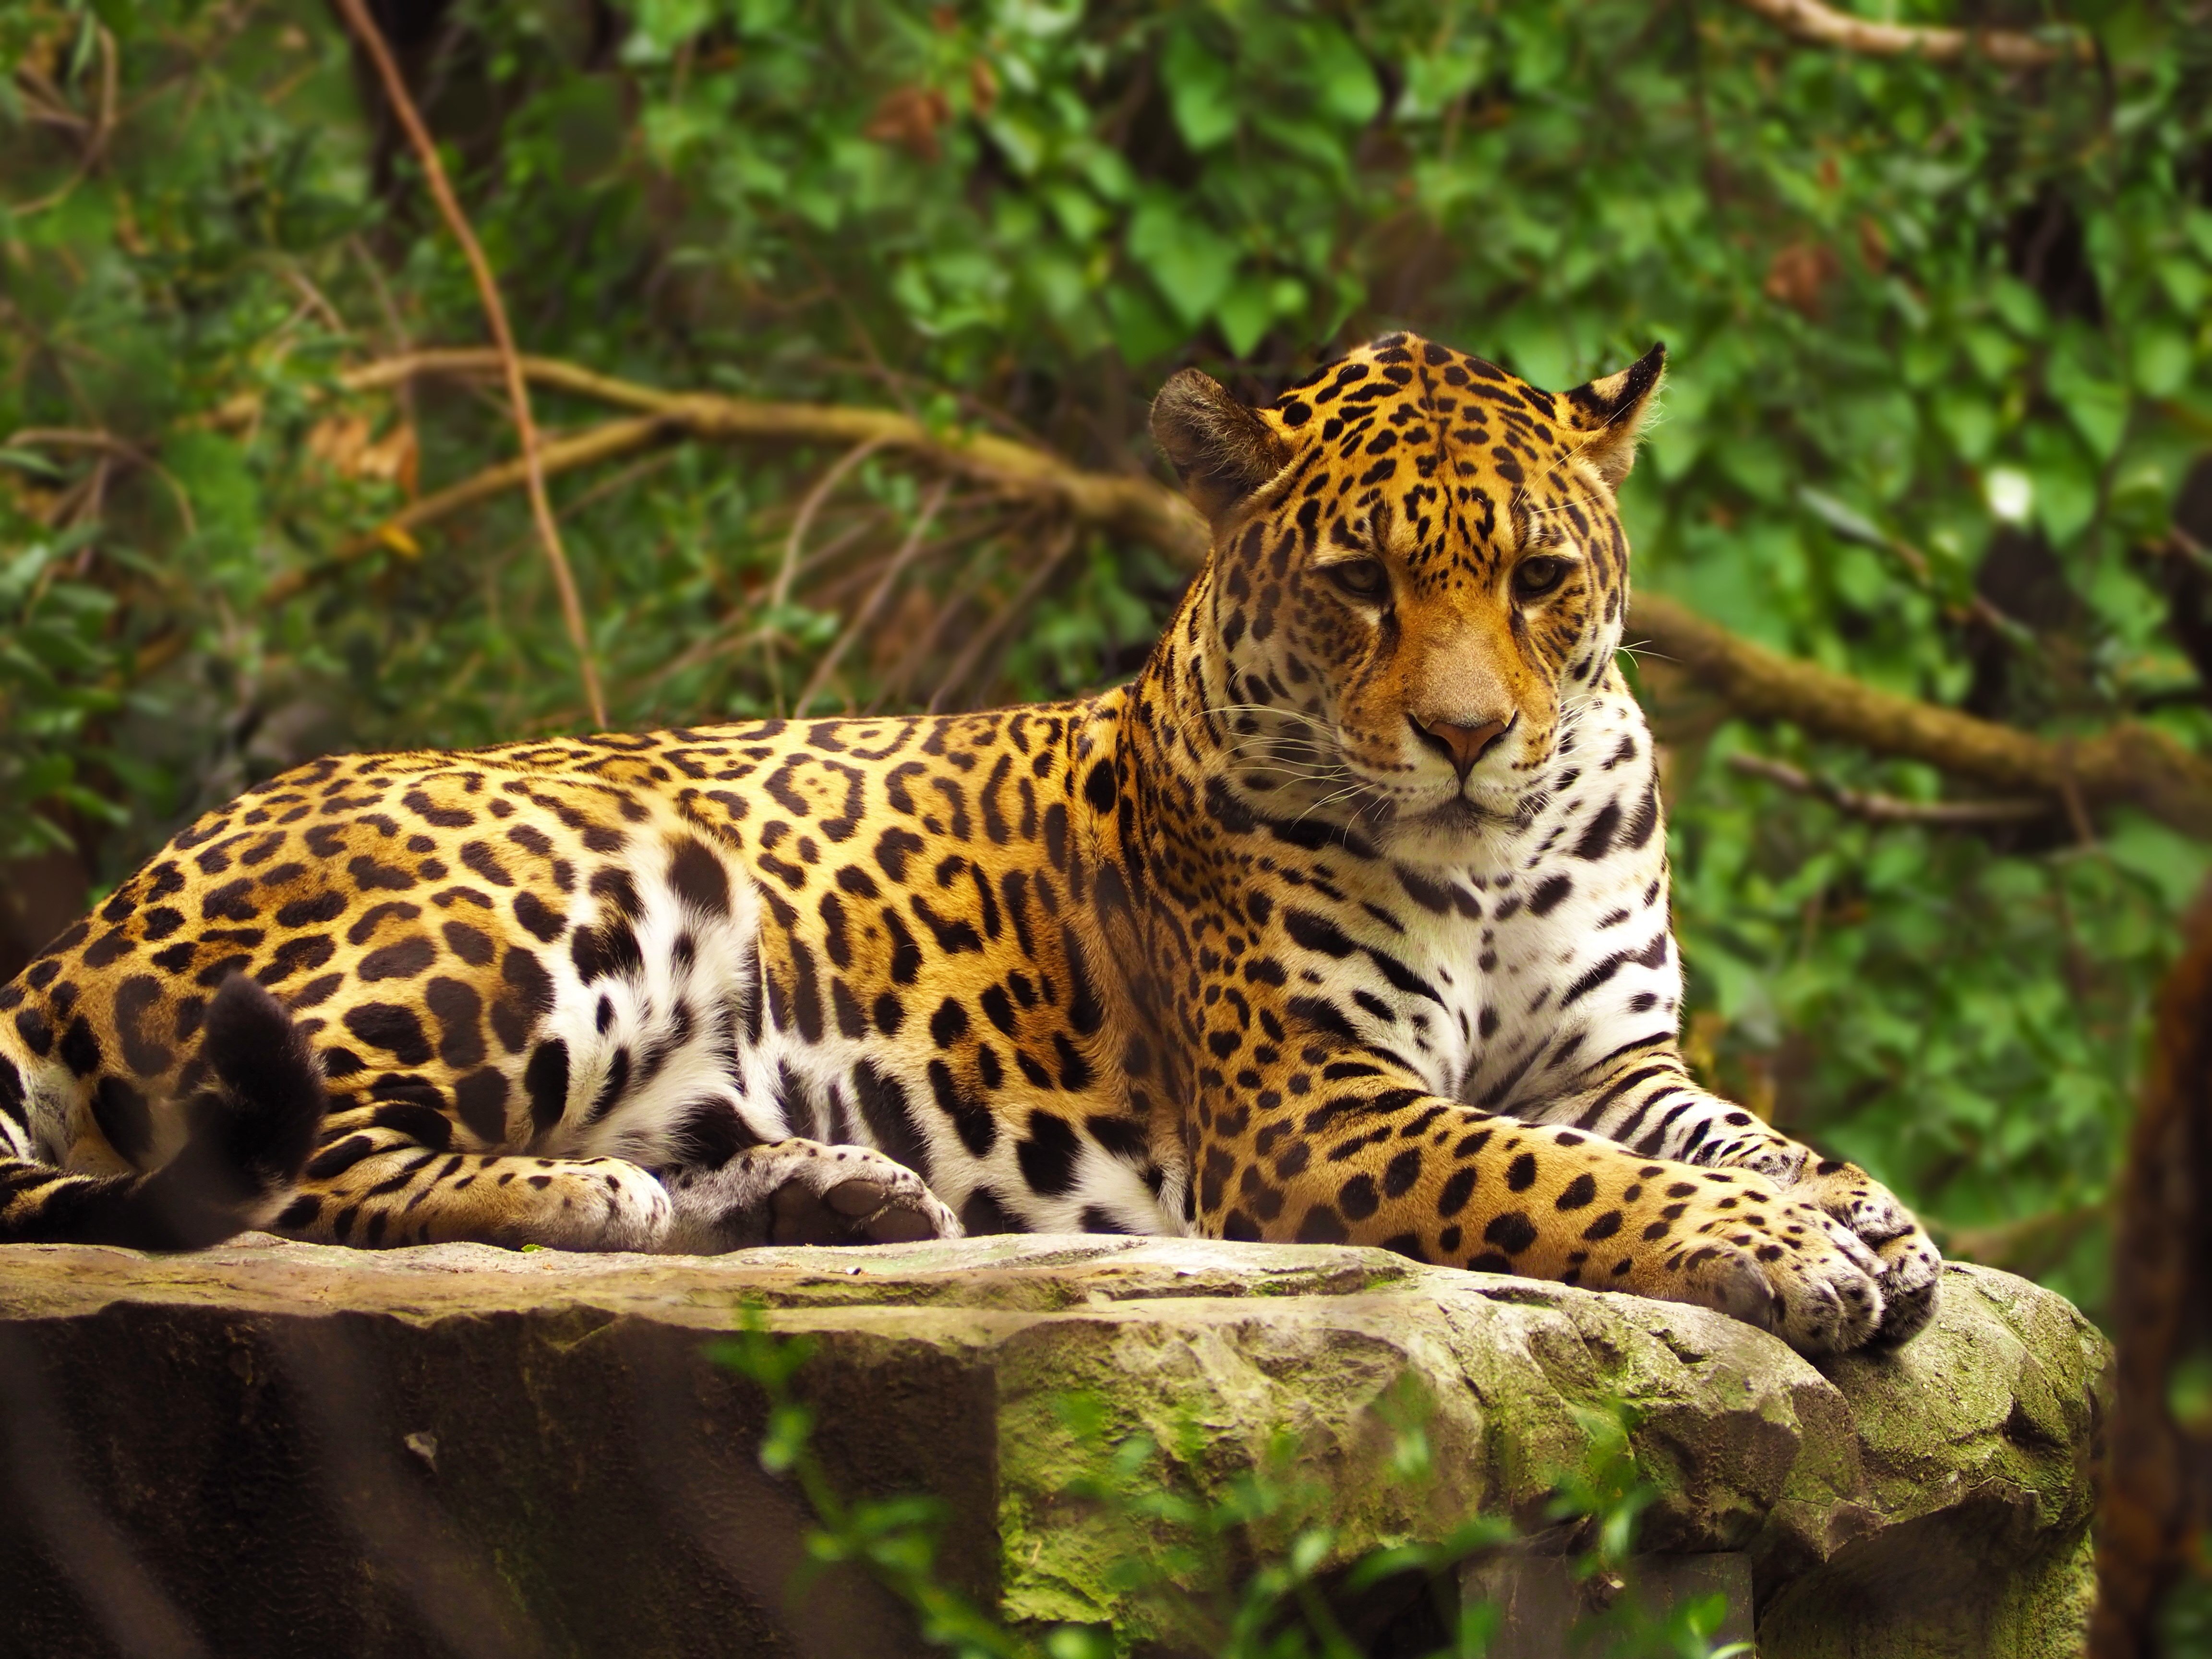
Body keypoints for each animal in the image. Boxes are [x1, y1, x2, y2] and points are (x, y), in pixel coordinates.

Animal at [0, 331, 1941, 1354]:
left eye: (1538, 579)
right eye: (1357, 582)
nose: (1467, 738)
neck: (1492, 853)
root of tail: (80, 929)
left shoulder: (1611, 1057)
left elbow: (1726, 1131)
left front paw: (1871, 1214)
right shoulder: (1316, 1110)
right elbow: (1566, 1180)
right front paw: (1784, 1252)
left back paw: (822, 1192)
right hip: (580, 883)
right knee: (286, 1165)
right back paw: (589, 1198)